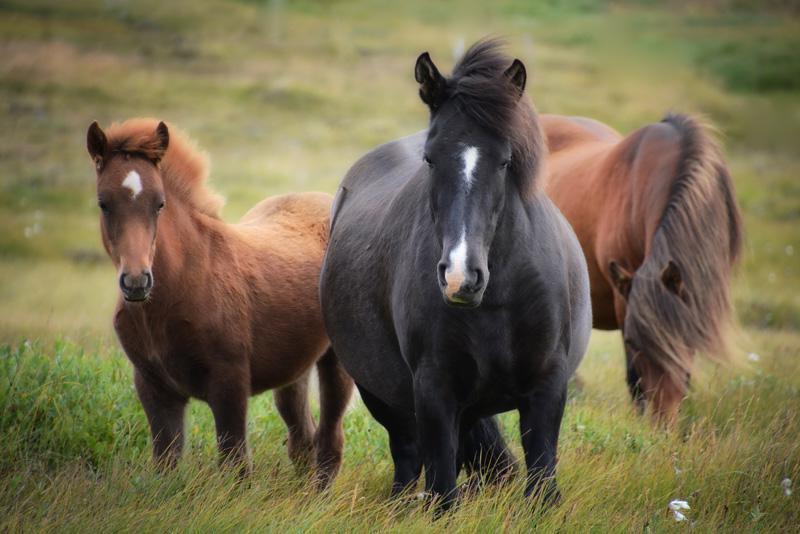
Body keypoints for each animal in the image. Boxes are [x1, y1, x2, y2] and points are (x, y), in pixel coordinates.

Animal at [86, 118, 353, 487]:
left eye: (159, 203)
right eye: (103, 203)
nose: (137, 282)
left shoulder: (230, 382)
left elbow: (235, 463)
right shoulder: (153, 386)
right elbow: (166, 462)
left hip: (337, 361)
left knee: (330, 439)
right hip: (294, 367)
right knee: (303, 437)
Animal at [320, 40, 592, 511]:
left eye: (505, 161)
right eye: (430, 159)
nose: (460, 278)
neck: (499, 298)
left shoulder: (547, 386)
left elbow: (541, 481)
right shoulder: (434, 391)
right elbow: (443, 490)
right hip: (382, 395)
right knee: (408, 457)